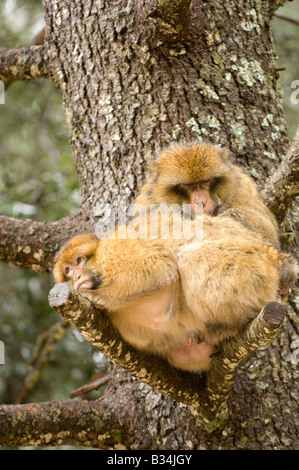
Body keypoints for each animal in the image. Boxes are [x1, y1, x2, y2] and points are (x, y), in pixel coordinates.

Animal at [53, 213, 292, 370]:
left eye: (79, 261)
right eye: (68, 270)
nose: (76, 277)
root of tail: (275, 260)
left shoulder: (117, 251)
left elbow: (159, 269)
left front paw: (95, 298)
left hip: (253, 270)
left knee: (189, 256)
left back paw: (232, 325)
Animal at [136, 141, 282, 248]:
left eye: (205, 181)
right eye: (187, 185)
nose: (201, 201)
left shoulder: (242, 188)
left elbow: (268, 230)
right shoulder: (147, 201)